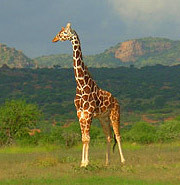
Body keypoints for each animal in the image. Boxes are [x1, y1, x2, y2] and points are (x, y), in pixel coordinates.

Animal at [52, 22, 125, 167]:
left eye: (64, 33)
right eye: (59, 32)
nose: (54, 39)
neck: (81, 84)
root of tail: (116, 100)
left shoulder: (89, 112)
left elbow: (87, 138)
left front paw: (86, 162)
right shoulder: (80, 113)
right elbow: (83, 138)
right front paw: (82, 163)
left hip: (115, 114)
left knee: (118, 136)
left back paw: (123, 161)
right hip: (103, 118)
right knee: (108, 136)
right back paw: (107, 162)